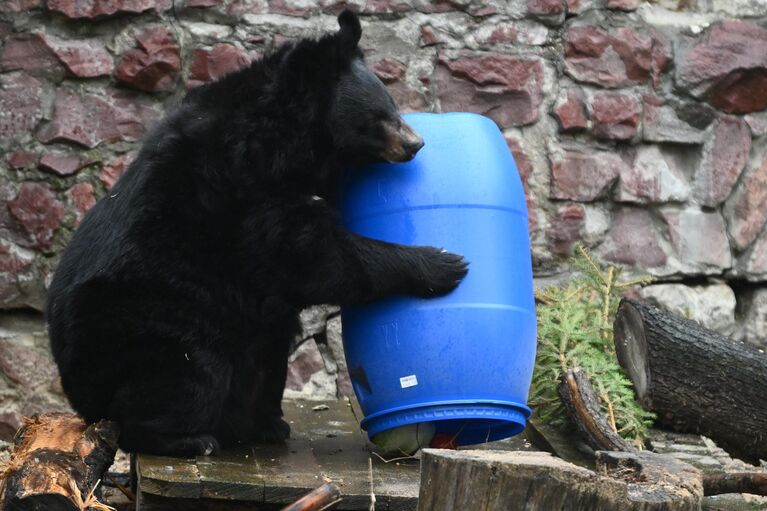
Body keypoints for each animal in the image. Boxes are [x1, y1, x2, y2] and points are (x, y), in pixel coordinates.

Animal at [48, 11, 472, 456]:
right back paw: (190, 438)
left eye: (392, 107)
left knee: (266, 356)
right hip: (152, 319)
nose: (416, 143)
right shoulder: (248, 190)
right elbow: (316, 259)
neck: (296, 140)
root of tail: (79, 392)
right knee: (187, 374)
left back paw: (263, 425)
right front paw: (444, 263)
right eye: (380, 115)